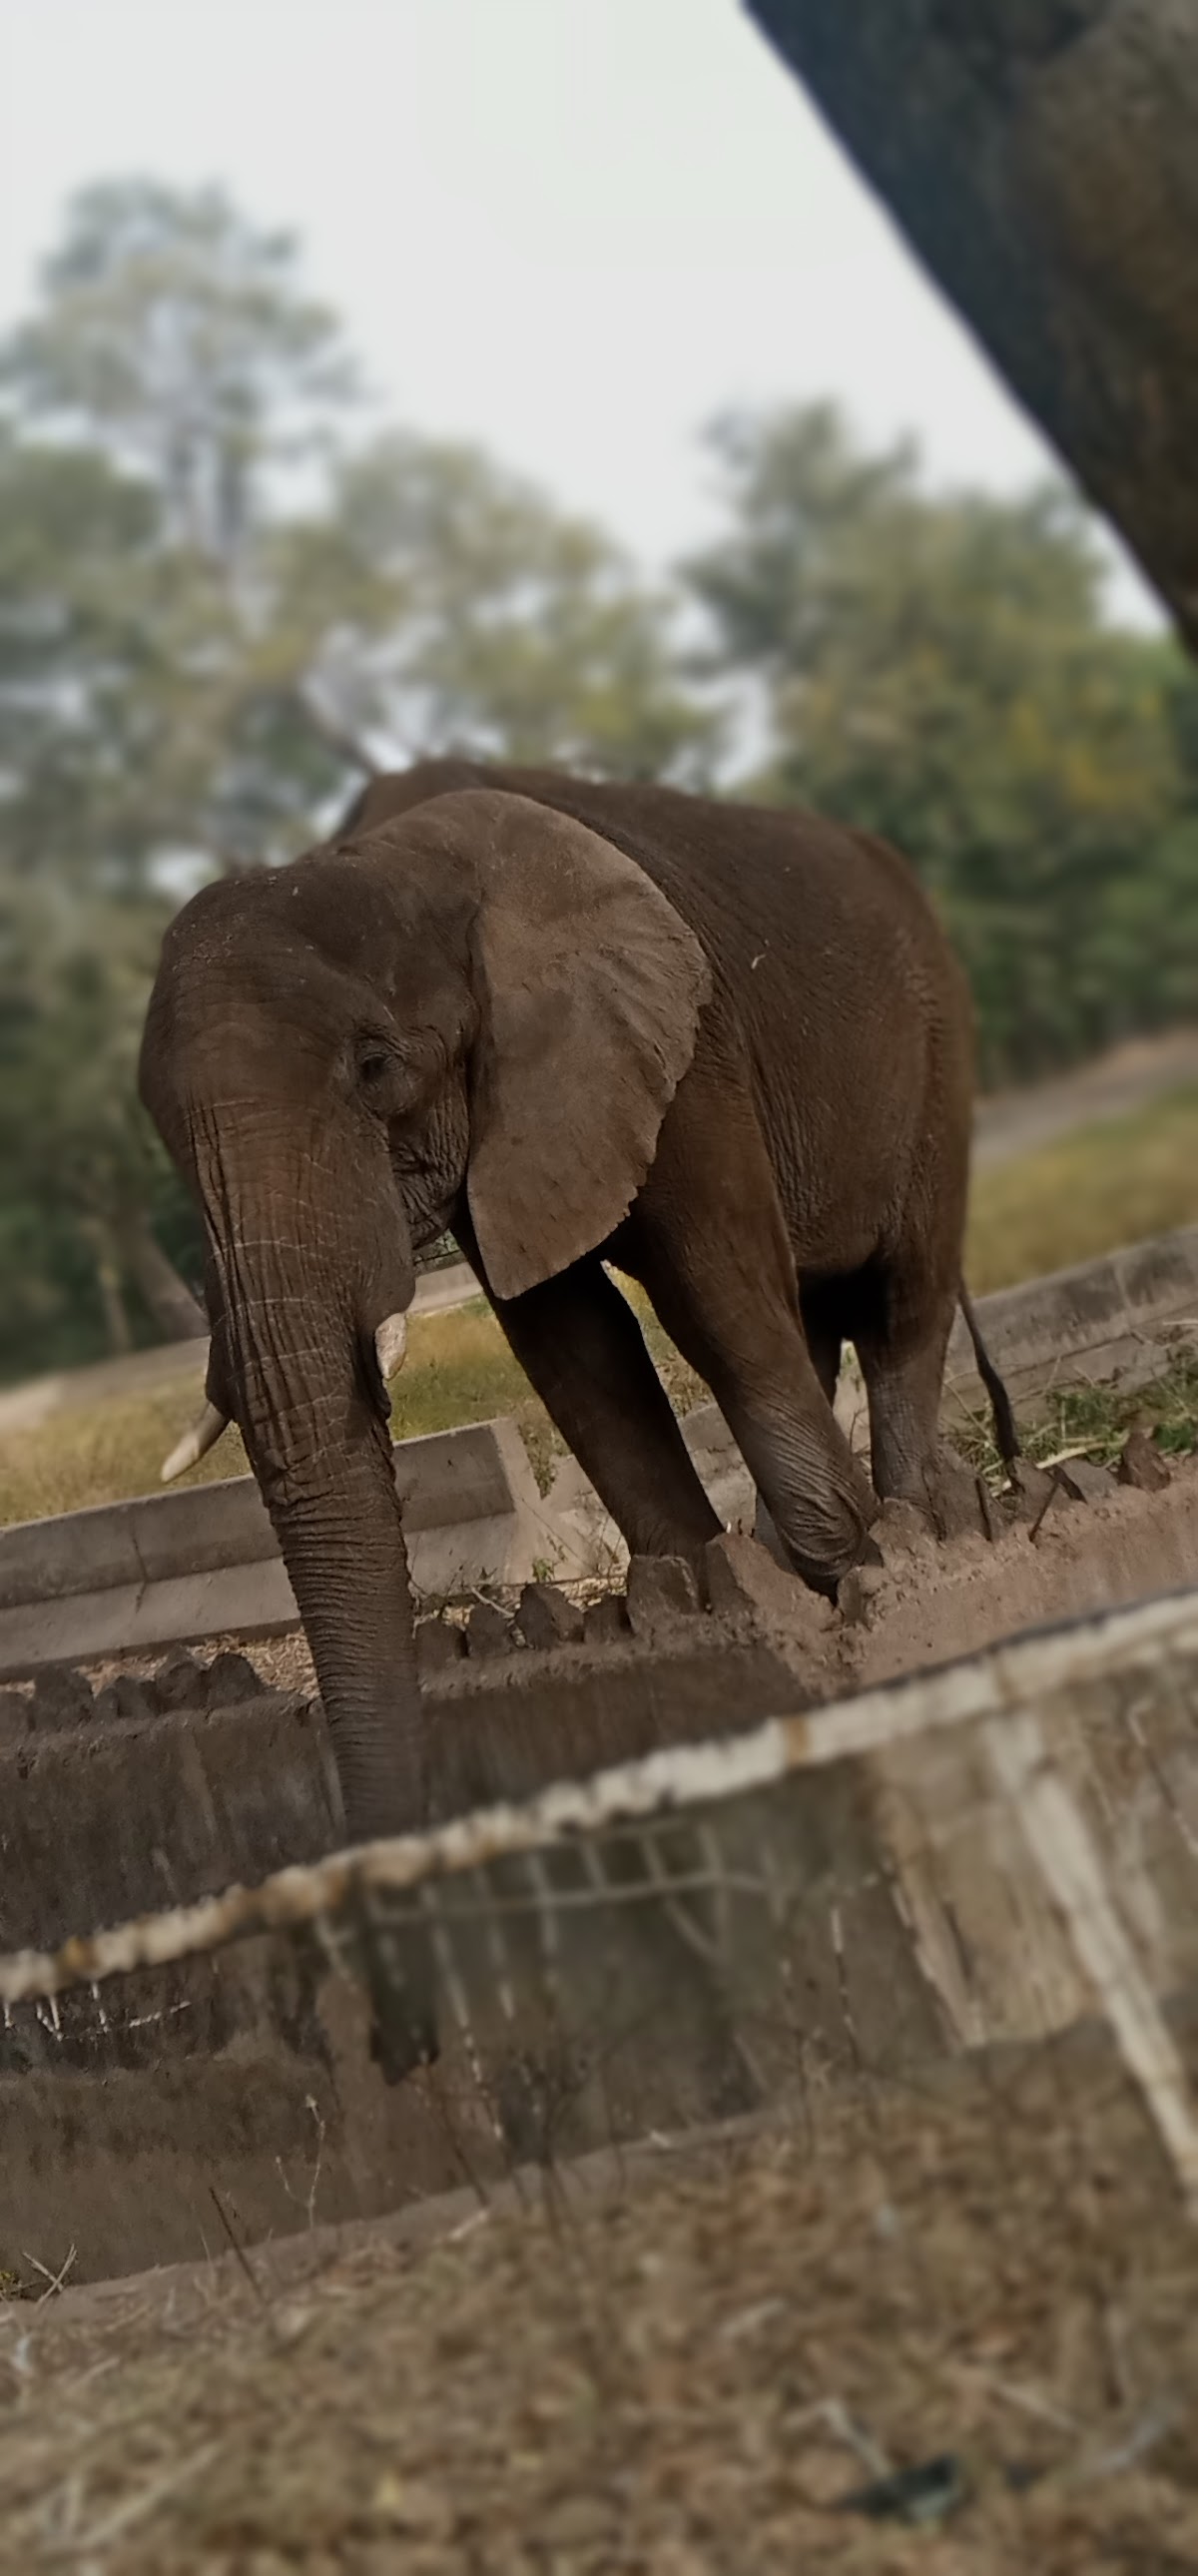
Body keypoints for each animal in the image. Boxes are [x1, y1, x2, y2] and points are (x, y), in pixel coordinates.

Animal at [139, 757, 1016, 1859]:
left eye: (376, 1067)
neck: (384, 858)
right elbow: (570, 1339)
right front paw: (698, 1594)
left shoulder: (680, 1037)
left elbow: (712, 1289)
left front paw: (854, 1575)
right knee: (813, 1316)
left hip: (939, 1042)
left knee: (900, 1302)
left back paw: (916, 1528)